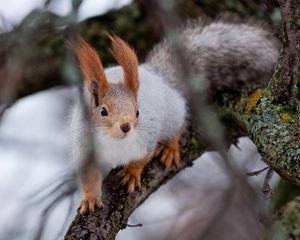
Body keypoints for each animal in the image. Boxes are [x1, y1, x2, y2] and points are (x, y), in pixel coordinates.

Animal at [70, 15, 278, 214]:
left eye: (138, 111)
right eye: (103, 111)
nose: (126, 127)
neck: (114, 142)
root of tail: (157, 74)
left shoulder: (146, 139)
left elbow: (141, 159)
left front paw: (131, 173)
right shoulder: (84, 149)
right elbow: (89, 177)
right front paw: (90, 199)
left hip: (173, 114)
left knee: (178, 126)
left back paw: (170, 148)